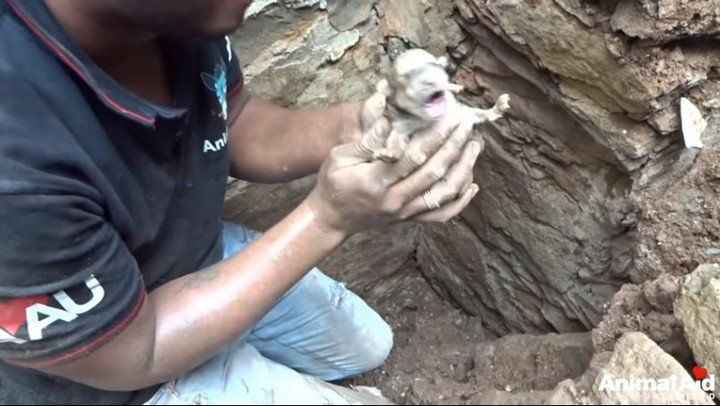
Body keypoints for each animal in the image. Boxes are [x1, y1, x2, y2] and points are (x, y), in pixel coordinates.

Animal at [372, 48, 512, 162]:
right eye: (406, 77)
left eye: (435, 66)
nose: (430, 79)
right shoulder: (402, 123)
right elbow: (396, 138)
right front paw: (389, 154)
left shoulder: (458, 113)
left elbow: (477, 113)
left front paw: (496, 109)